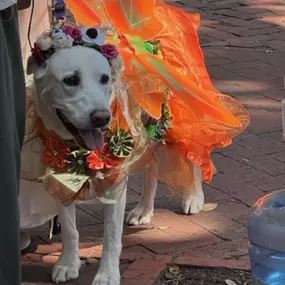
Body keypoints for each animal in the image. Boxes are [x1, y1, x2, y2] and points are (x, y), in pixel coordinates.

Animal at [20, 40, 204, 284]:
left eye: (105, 78)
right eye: (70, 79)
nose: (102, 117)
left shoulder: (114, 181)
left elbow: (111, 235)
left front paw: (107, 274)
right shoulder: (60, 176)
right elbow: (69, 228)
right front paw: (68, 263)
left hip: (174, 118)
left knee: (193, 154)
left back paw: (194, 197)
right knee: (151, 169)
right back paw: (144, 210)